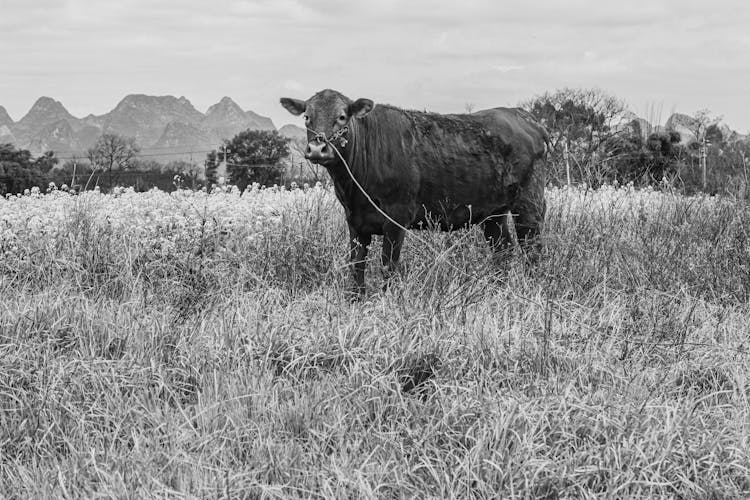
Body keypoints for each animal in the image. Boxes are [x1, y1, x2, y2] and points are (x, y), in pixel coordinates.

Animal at [280, 89, 548, 296]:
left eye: (342, 117)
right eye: (307, 117)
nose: (317, 149)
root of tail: (523, 116)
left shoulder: (396, 218)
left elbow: (388, 264)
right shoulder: (355, 221)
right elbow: (357, 264)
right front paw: (355, 299)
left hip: (529, 204)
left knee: (532, 248)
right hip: (493, 213)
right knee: (503, 250)